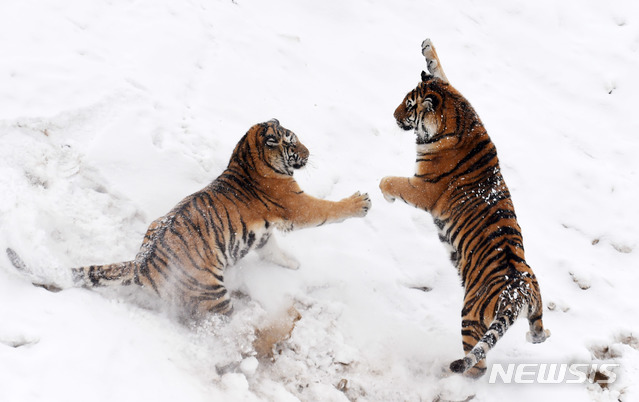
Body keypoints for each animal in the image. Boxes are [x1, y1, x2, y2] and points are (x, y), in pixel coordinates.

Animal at [7, 118, 372, 320]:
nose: (309, 154)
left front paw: (292, 264)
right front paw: (360, 202)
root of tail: (142, 264)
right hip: (213, 294)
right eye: (292, 140)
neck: (248, 157)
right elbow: (327, 210)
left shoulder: (265, 232)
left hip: (157, 226)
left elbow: (272, 249)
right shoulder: (297, 206)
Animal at [380, 39, 552, 378]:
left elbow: (392, 182)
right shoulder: (452, 87)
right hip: (537, 302)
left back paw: (452, 373)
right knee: (538, 332)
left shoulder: (423, 187)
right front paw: (427, 47)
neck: (458, 114)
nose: (392, 115)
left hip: (470, 317)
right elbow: (439, 70)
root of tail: (517, 293)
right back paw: (539, 335)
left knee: (477, 364)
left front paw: (384, 193)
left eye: (409, 105)